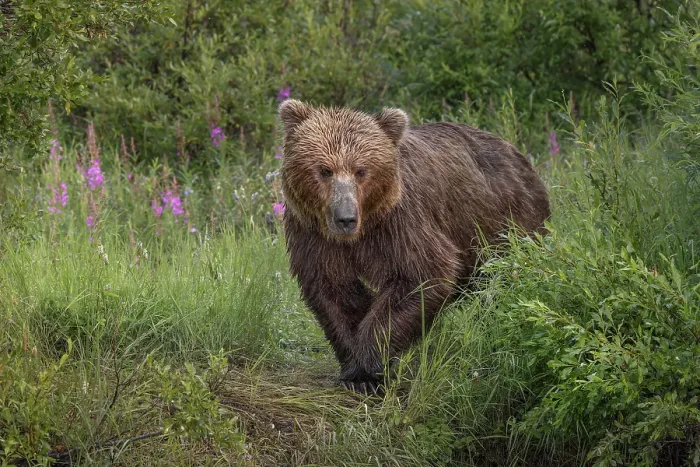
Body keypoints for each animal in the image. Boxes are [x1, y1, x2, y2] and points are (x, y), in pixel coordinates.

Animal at [279, 99, 550, 394]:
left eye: (361, 170)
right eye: (325, 170)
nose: (345, 218)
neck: (364, 231)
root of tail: (519, 155)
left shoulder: (402, 223)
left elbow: (422, 275)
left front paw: (371, 366)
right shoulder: (314, 234)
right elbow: (334, 289)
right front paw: (354, 370)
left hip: (508, 224)